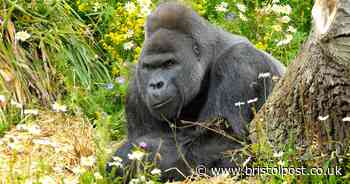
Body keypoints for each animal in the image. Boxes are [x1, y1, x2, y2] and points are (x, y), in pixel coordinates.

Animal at [106, 1, 284, 181]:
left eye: (169, 64)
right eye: (149, 67)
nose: (156, 84)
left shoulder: (239, 61)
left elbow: (227, 144)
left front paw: (127, 157)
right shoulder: (135, 89)